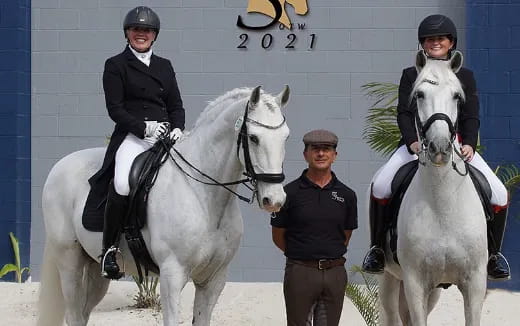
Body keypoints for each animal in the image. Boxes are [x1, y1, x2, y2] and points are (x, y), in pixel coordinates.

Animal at [38, 85, 290, 324]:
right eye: (254, 138)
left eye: (286, 137)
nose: (274, 200)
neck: (203, 196)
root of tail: (58, 166)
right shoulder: (172, 274)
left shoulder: (214, 279)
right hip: (69, 262)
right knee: (73, 314)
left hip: (95, 269)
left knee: (83, 314)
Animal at [380, 51, 490, 326]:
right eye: (419, 94)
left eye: (457, 96)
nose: (439, 148)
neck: (444, 204)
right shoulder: (415, 283)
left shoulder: (475, 283)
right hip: (390, 277)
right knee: (391, 312)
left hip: (435, 290)